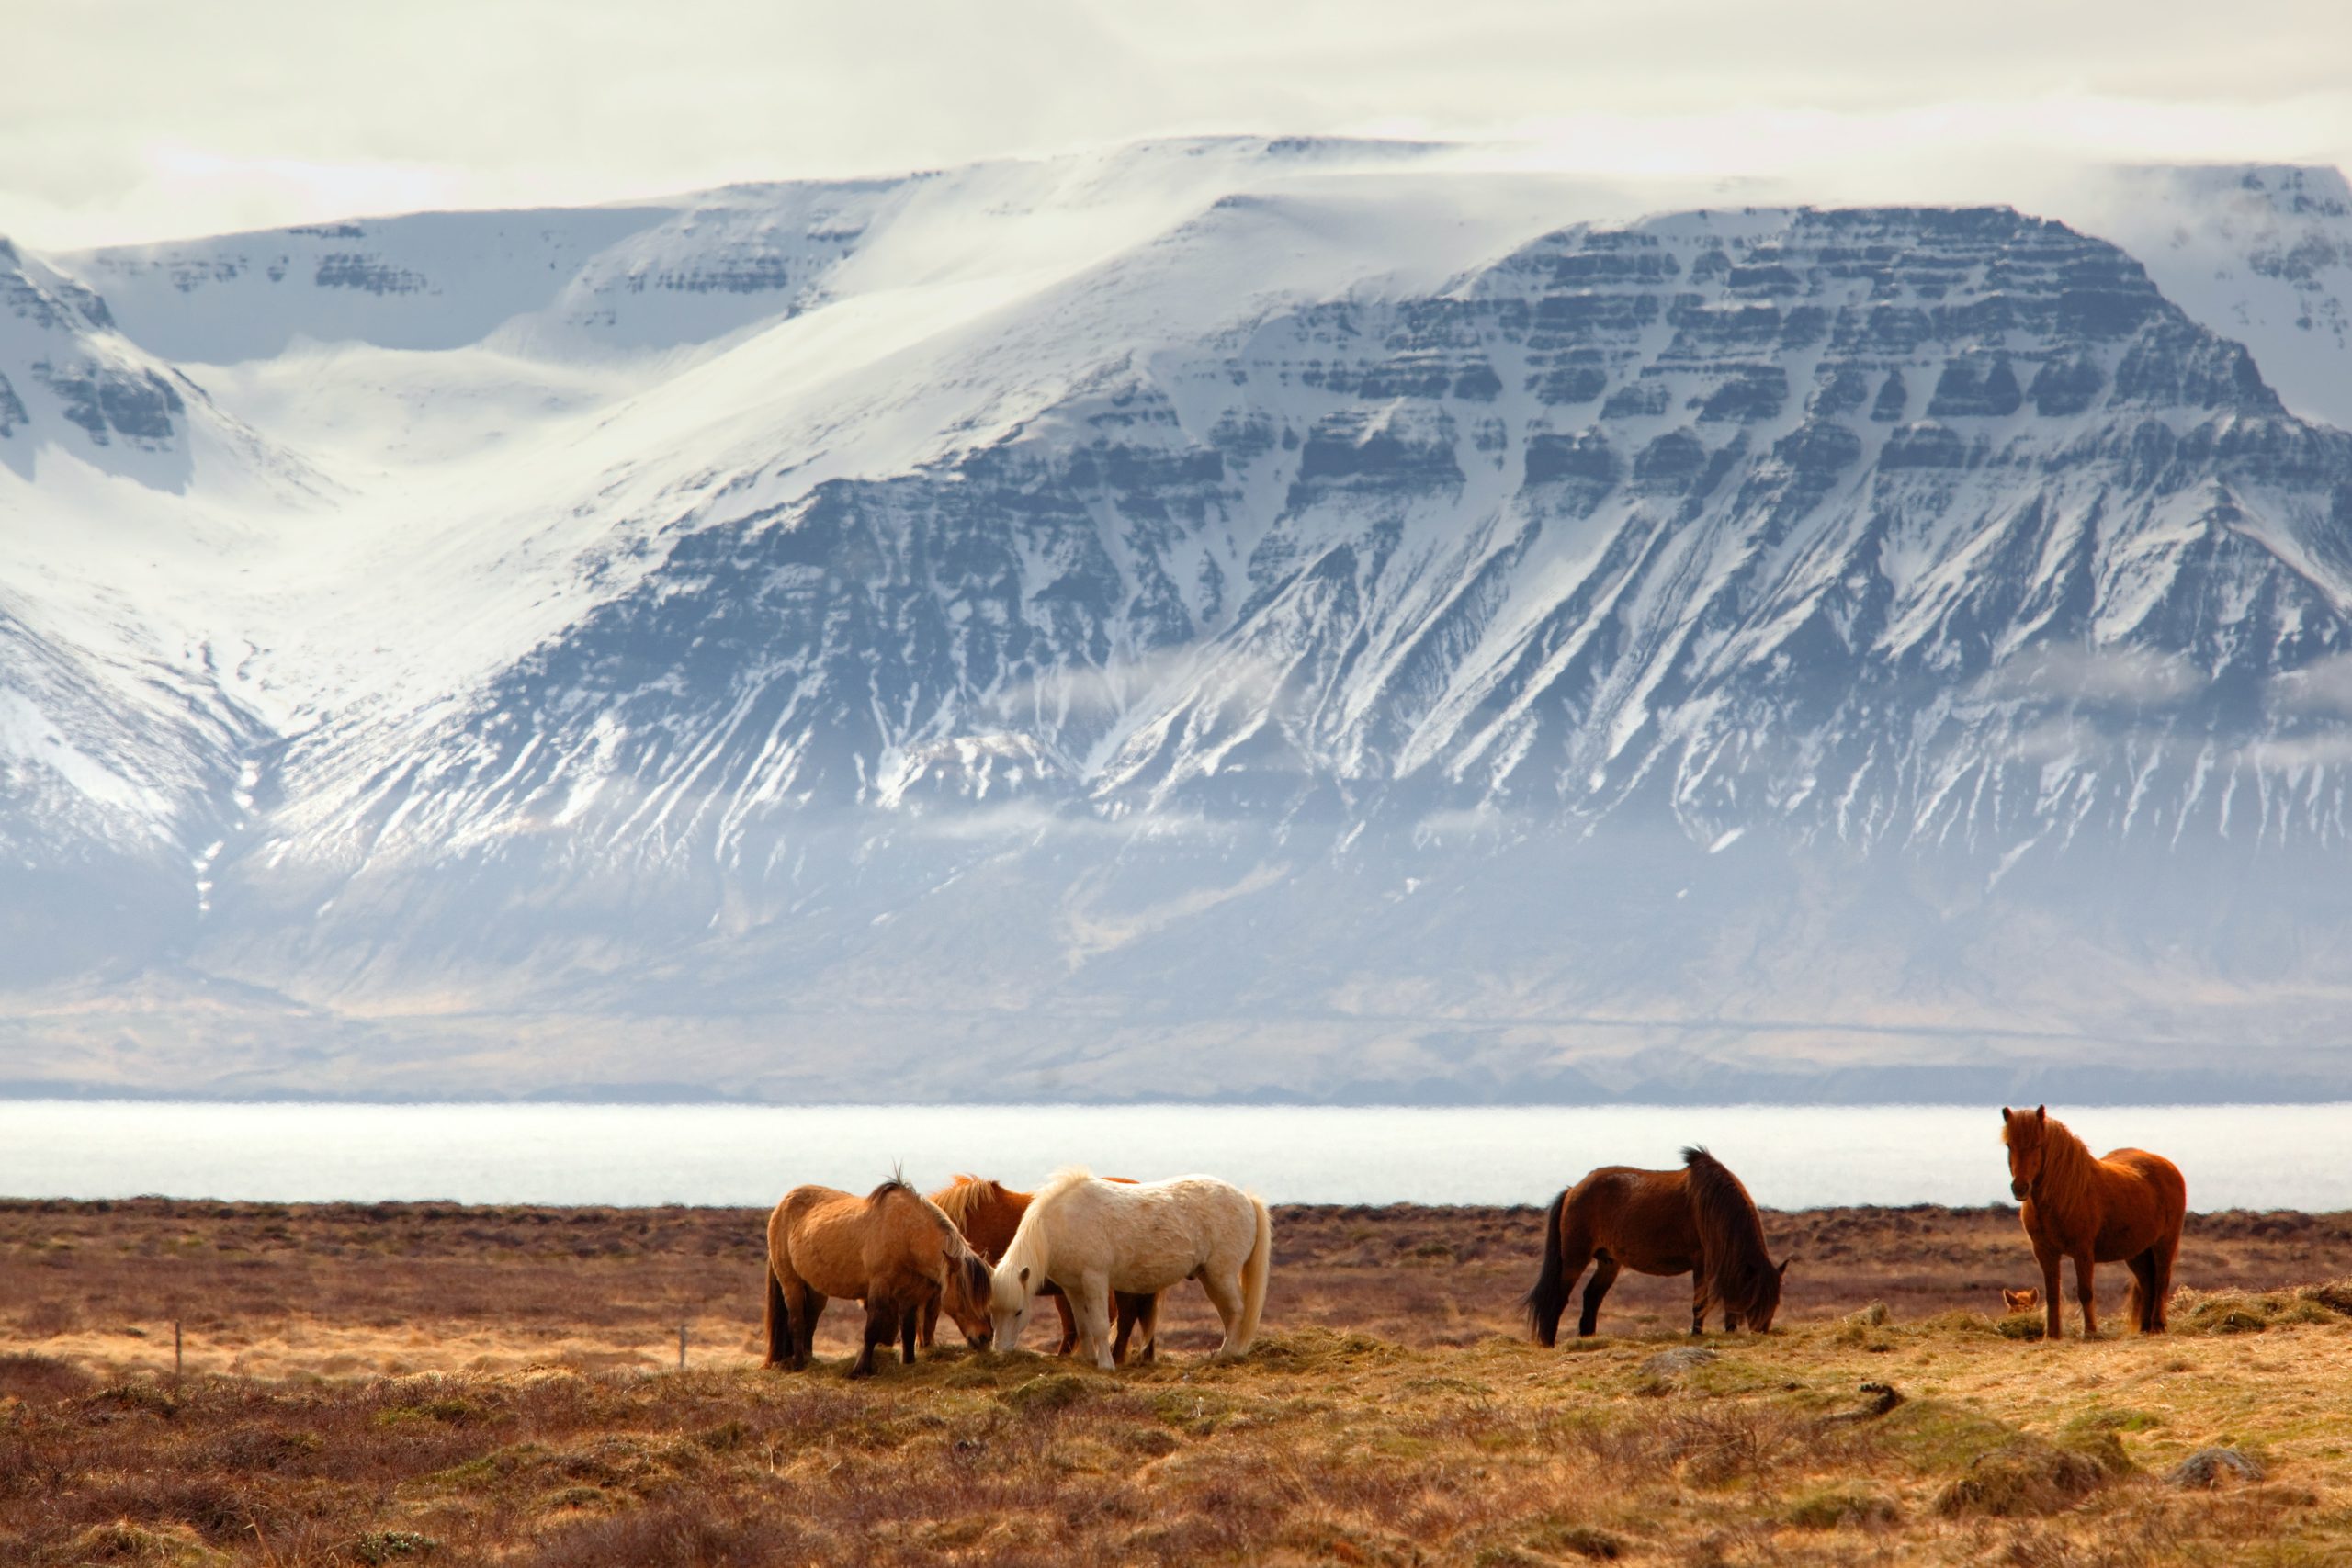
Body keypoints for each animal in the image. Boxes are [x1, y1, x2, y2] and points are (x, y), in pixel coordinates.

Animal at [766, 1170, 997, 1382]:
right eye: (965, 1295)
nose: (984, 1337)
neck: (906, 1234)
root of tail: (781, 1207)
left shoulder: (909, 1296)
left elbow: (908, 1332)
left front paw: (909, 1363)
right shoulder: (879, 1287)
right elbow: (872, 1329)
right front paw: (859, 1370)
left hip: (815, 1289)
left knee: (810, 1322)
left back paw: (810, 1360)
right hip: (791, 1282)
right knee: (796, 1320)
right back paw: (799, 1364)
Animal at [997, 1166, 1279, 1372]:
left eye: (1019, 1311)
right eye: (993, 1310)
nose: (1000, 1352)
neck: (1062, 1221)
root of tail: (1246, 1199)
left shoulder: (1095, 1280)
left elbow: (1100, 1325)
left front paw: (1106, 1365)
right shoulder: (1073, 1288)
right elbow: (1083, 1325)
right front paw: (1088, 1360)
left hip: (1222, 1274)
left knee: (1237, 1309)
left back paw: (1227, 1354)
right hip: (1209, 1277)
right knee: (1228, 1313)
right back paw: (1227, 1352)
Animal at [1523, 1142, 1778, 1354]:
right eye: (1758, 1298)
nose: (1762, 1332)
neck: (1714, 1204)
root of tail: (1573, 1189)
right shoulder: (1701, 1262)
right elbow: (1700, 1303)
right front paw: (1697, 1334)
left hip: (1608, 1261)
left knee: (1592, 1296)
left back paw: (1588, 1338)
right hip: (1575, 1257)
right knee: (1559, 1296)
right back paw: (1549, 1342)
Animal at [2004, 1100, 2182, 1344]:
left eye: (2037, 1144)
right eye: (2009, 1145)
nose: (2020, 1188)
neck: (2063, 1193)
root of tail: (2169, 1167)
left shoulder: (2083, 1252)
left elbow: (2085, 1291)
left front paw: (2090, 1332)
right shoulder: (2045, 1252)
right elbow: (2052, 1293)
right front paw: (2052, 1335)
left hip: (2164, 1243)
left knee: (2162, 1280)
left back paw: (2158, 1326)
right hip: (2137, 1252)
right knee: (2147, 1283)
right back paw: (2144, 1328)